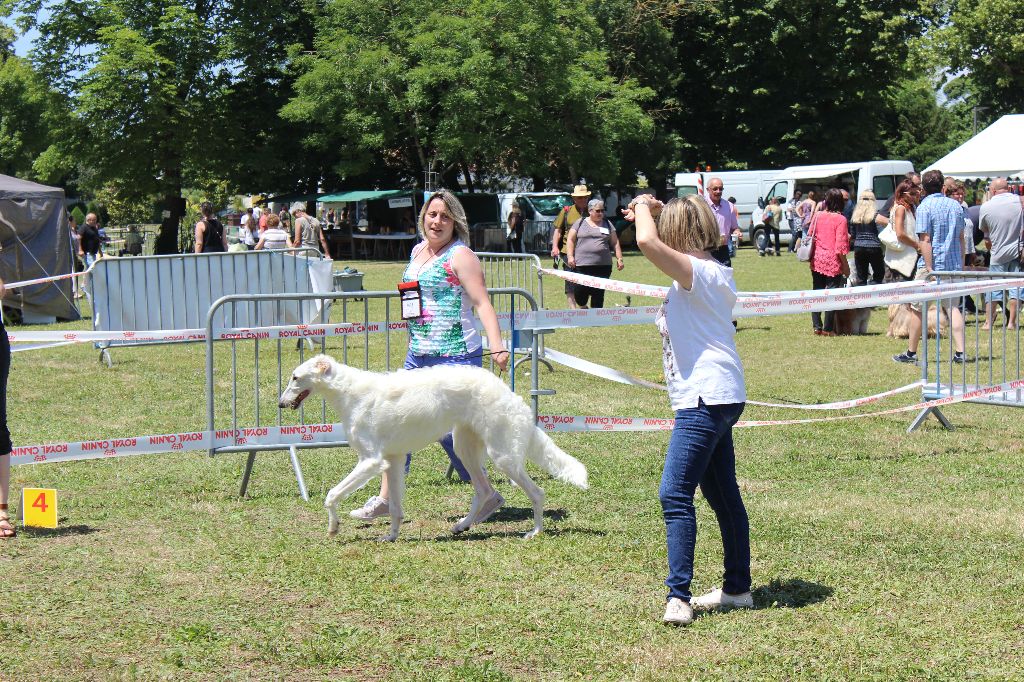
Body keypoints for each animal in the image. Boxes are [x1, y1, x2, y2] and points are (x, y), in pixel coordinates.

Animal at [280, 352, 589, 540]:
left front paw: (333, 528)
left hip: (502, 456)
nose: (280, 404)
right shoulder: (393, 460)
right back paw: (462, 525)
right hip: (465, 449)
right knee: (483, 491)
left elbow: (331, 495)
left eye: (295, 377)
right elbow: (395, 508)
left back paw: (534, 532)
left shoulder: (371, 460)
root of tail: (510, 394)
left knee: (537, 492)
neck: (350, 393)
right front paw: (391, 536)